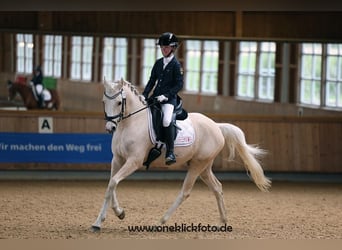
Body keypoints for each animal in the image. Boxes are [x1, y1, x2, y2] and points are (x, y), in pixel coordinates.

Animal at [91, 78, 272, 230]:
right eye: (104, 102)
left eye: (119, 102)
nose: (110, 128)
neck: (131, 123)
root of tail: (216, 126)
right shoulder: (118, 159)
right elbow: (111, 185)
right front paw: (106, 219)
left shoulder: (133, 161)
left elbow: (114, 182)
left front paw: (115, 214)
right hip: (203, 167)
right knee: (217, 188)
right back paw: (222, 221)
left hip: (198, 165)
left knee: (185, 192)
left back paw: (160, 222)